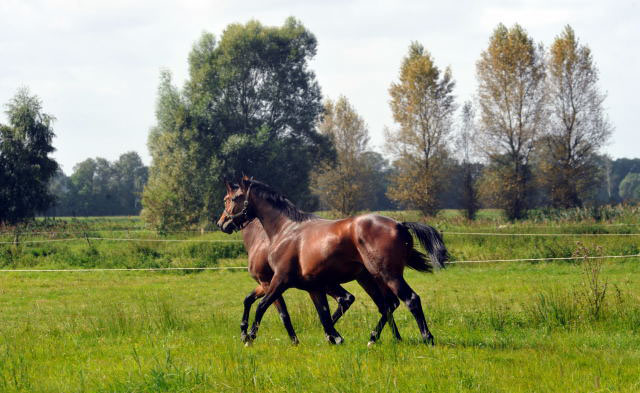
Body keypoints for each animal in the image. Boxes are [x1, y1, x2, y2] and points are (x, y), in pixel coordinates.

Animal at [218, 176, 448, 344]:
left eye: (230, 199)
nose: (222, 223)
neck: (284, 231)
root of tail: (399, 224)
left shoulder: (278, 280)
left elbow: (265, 307)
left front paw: (249, 337)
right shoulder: (314, 287)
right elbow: (324, 315)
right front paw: (334, 338)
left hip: (387, 275)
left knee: (410, 300)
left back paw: (427, 339)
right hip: (371, 278)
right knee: (388, 305)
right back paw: (376, 338)